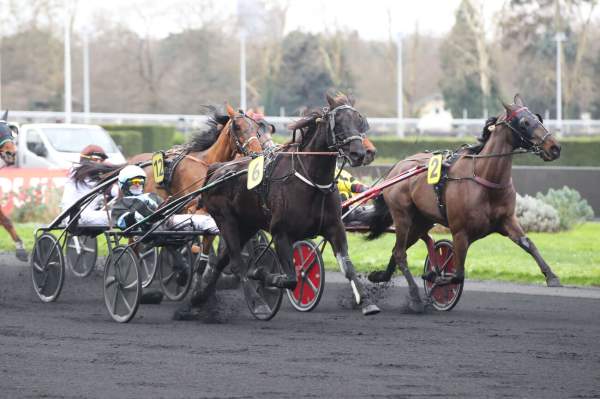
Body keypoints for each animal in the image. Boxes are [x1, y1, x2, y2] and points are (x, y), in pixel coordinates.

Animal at [185, 92, 380, 318]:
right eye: (338, 122)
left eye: (359, 121)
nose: (360, 153)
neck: (311, 181)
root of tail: (216, 169)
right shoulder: (281, 233)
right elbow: (291, 278)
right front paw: (262, 273)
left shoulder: (335, 228)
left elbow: (348, 267)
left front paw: (366, 302)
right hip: (226, 221)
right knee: (238, 264)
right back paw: (257, 302)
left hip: (247, 225)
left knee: (222, 262)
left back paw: (198, 299)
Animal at [366, 95, 564, 314]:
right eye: (524, 123)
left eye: (538, 118)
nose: (554, 147)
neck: (483, 178)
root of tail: (398, 167)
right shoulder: (460, 231)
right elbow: (458, 273)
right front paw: (437, 278)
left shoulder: (507, 220)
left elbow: (528, 243)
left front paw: (551, 276)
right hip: (402, 216)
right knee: (401, 253)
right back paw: (416, 298)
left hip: (420, 221)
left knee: (398, 250)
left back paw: (380, 276)